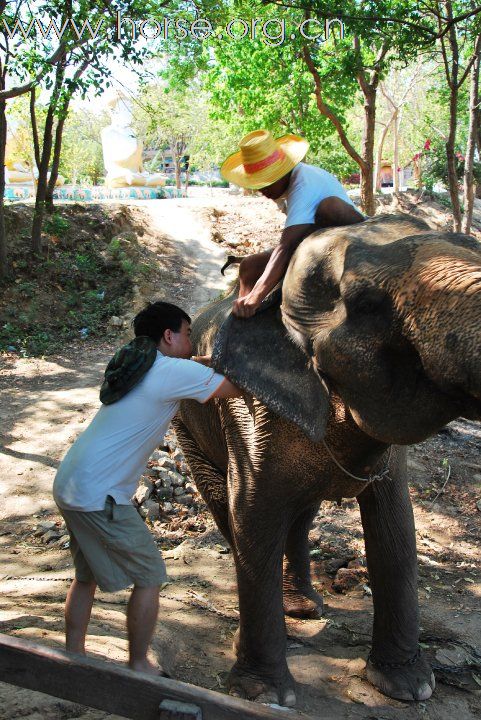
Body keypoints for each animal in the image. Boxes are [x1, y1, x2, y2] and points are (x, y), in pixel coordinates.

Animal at [173, 215, 480, 708]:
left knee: (300, 517)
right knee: (230, 514)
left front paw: (410, 688)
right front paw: (264, 695)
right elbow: (252, 521)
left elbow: (395, 528)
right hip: (187, 427)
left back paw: (304, 609)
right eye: (366, 303)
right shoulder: (246, 410)